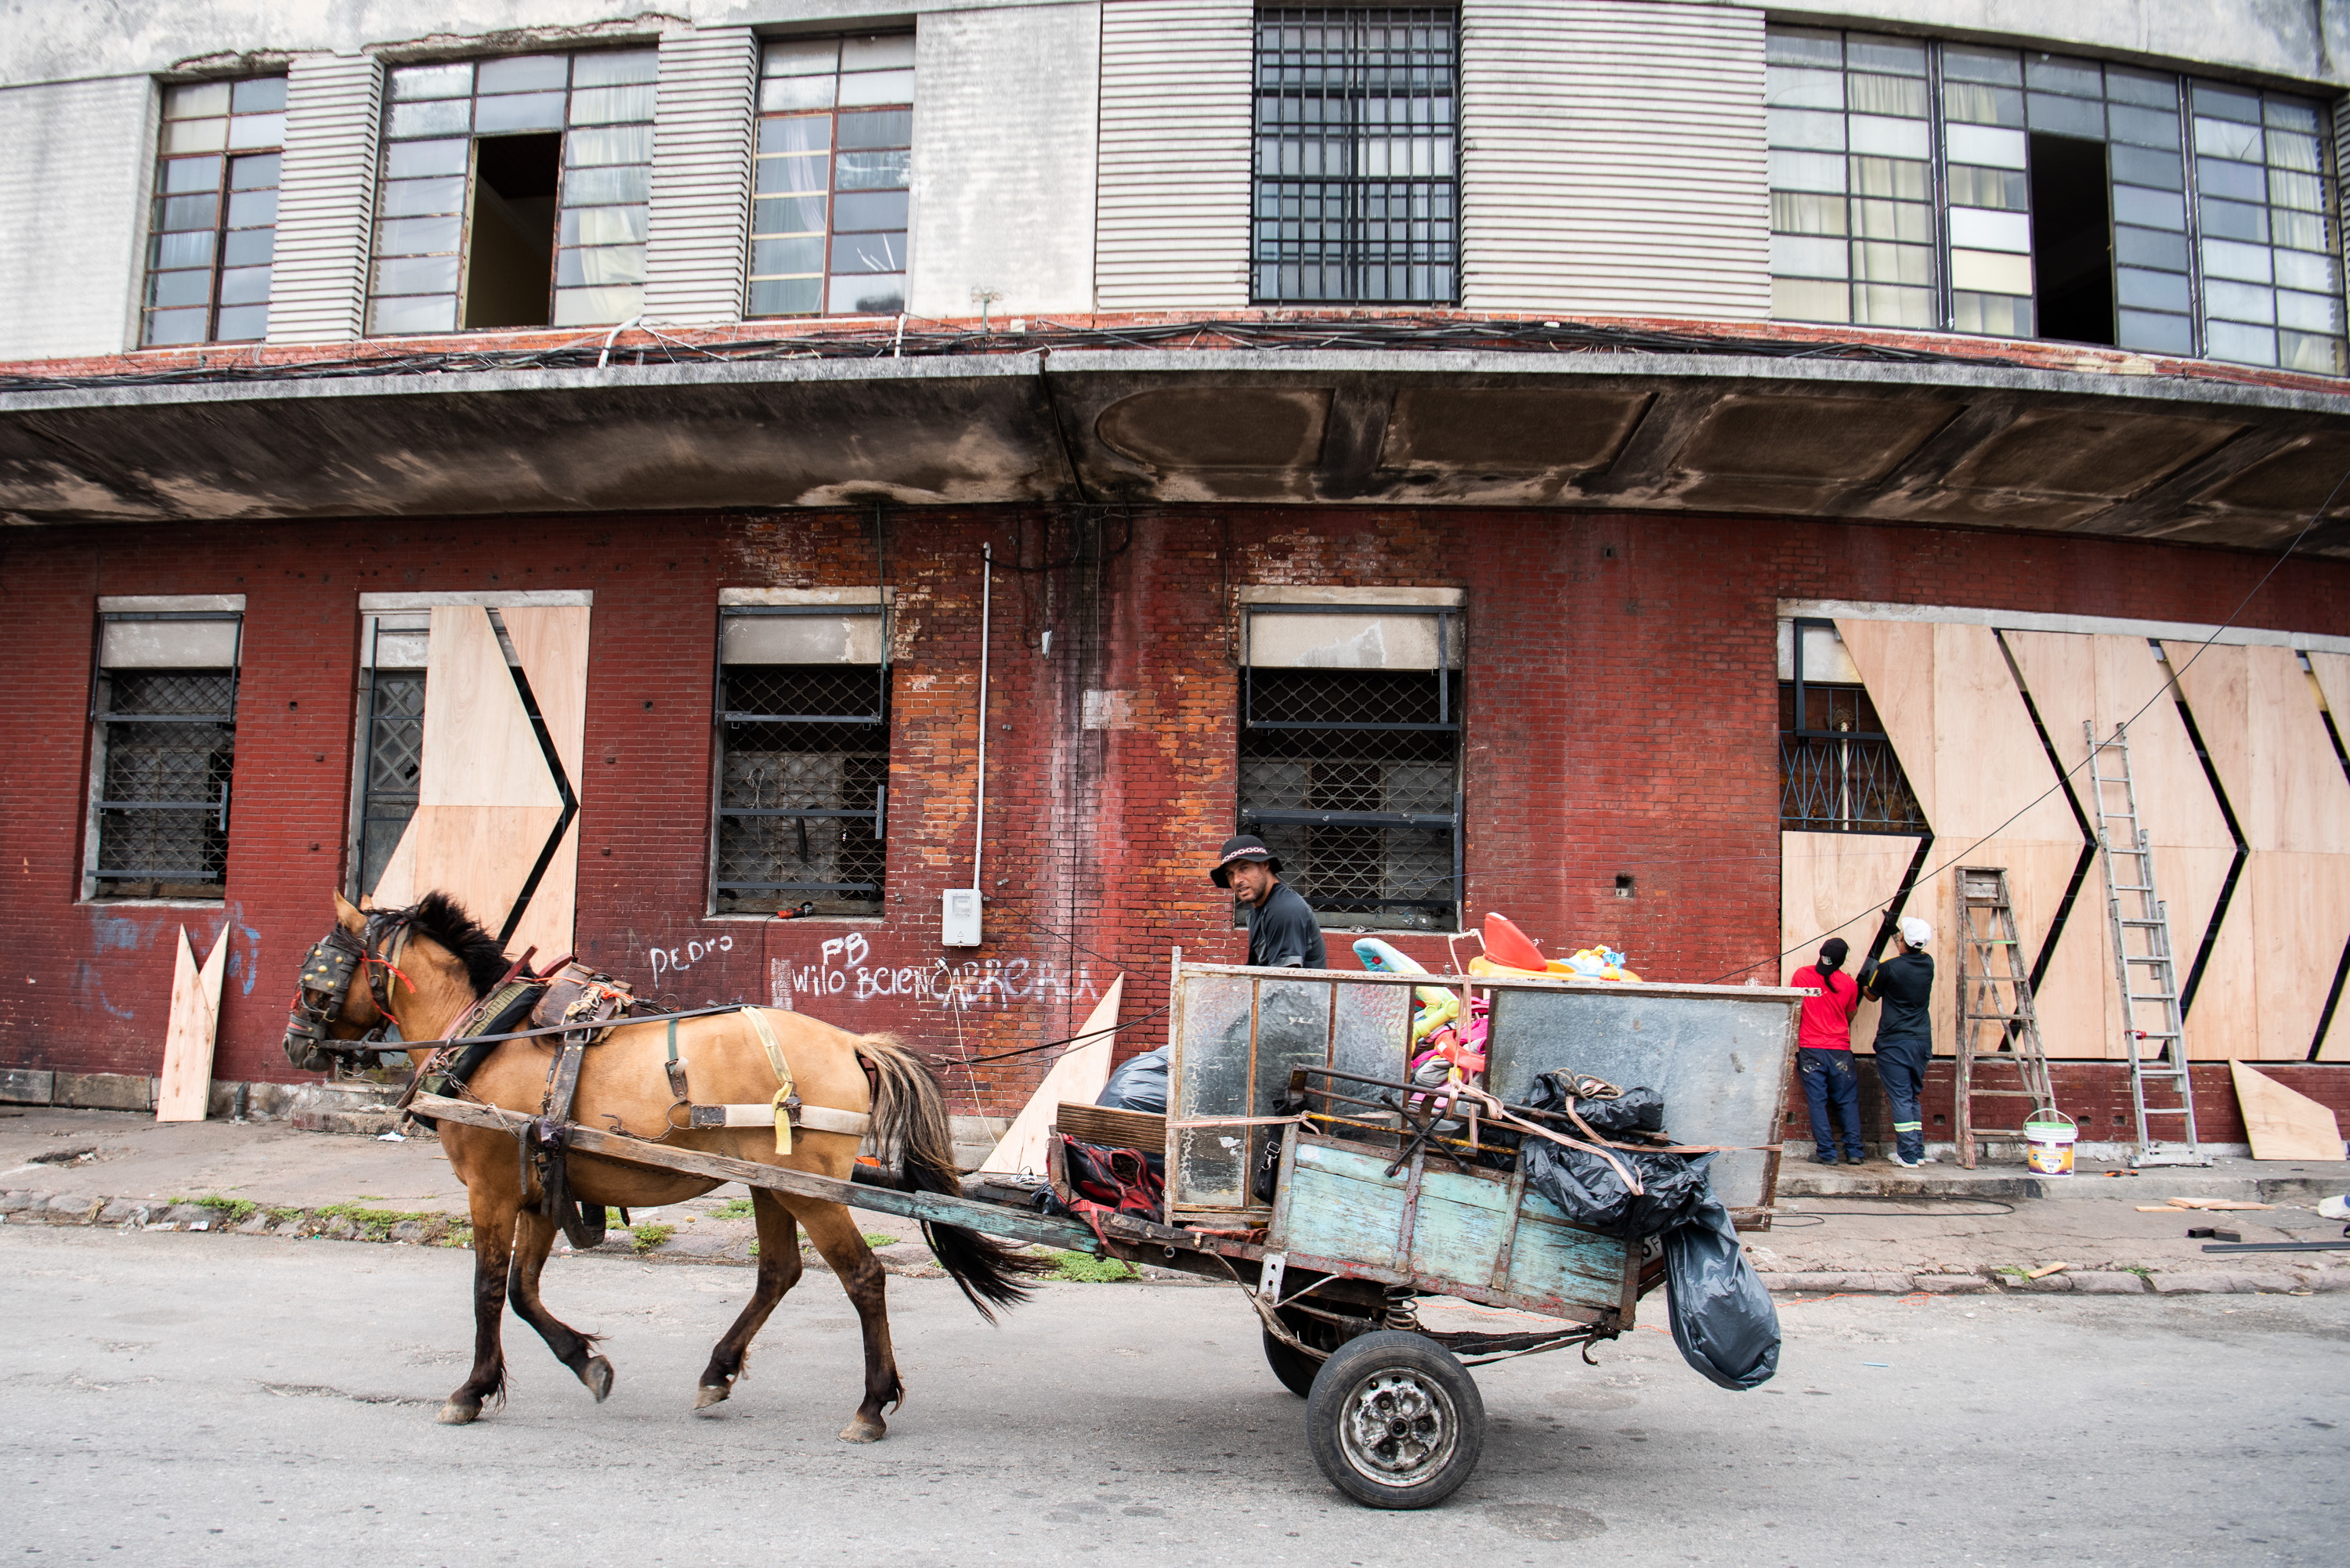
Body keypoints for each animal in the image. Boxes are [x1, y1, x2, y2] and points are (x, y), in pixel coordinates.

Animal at [287, 888, 1039, 1438]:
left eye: (314, 970)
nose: (297, 1040)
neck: (489, 1035)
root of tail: (852, 1043)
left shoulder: (492, 1189)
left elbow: (487, 1290)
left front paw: (471, 1391)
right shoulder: (539, 1184)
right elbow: (525, 1293)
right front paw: (586, 1363)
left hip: (812, 1190)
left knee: (864, 1277)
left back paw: (871, 1405)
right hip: (773, 1184)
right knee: (779, 1273)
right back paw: (718, 1372)